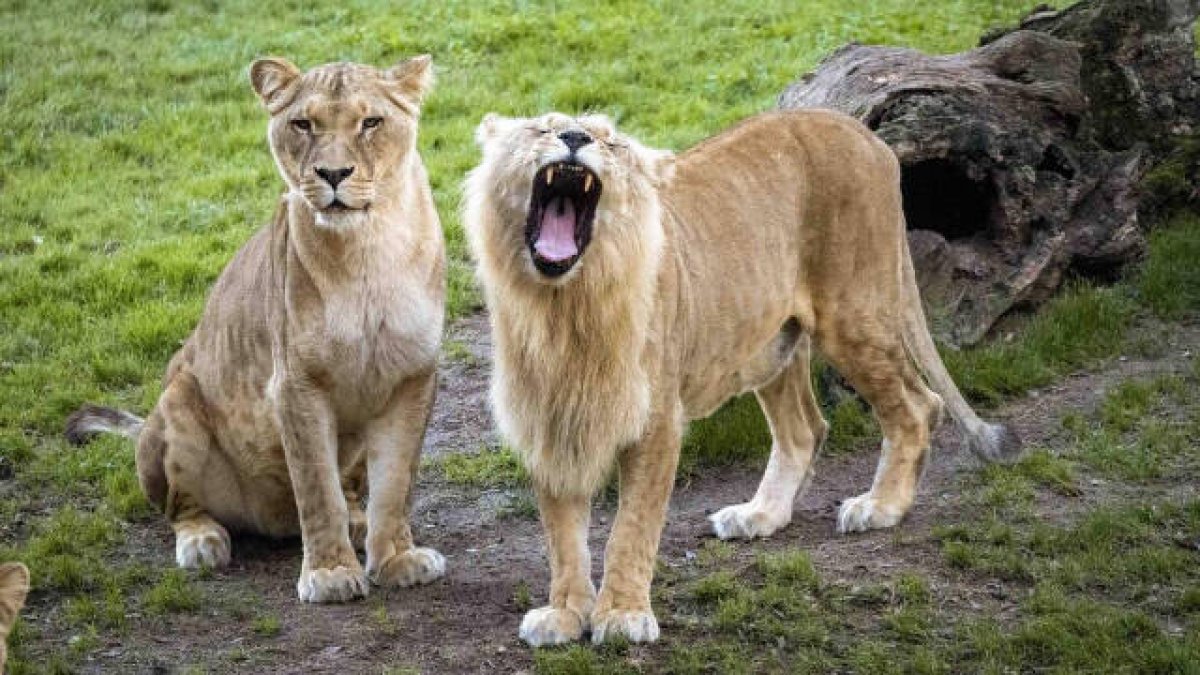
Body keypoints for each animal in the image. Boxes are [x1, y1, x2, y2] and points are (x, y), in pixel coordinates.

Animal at [62, 57, 446, 600]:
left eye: (371, 122)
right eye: (303, 124)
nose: (333, 174)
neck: (368, 249)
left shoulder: (413, 378)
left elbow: (395, 483)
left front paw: (396, 559)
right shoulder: (296, 385)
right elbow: (316, 487)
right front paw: (330, 574)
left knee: (353, 491)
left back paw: (358, 523)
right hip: (178, 400)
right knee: (179, 507)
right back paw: (202, 541)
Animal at [463, 109, 1017, 638]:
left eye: (610, 141)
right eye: (542, 129)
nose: (576, 138)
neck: (565, 308)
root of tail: (862, 133)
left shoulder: (657, 419)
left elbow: (632, 526)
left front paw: (622, 615)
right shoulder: (548, 419)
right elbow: (562, 536)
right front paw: (564, 613)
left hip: (853, 315)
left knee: (920, 405)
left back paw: (881, 506)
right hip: (774, 342)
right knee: (805, 430)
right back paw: (761, 515)